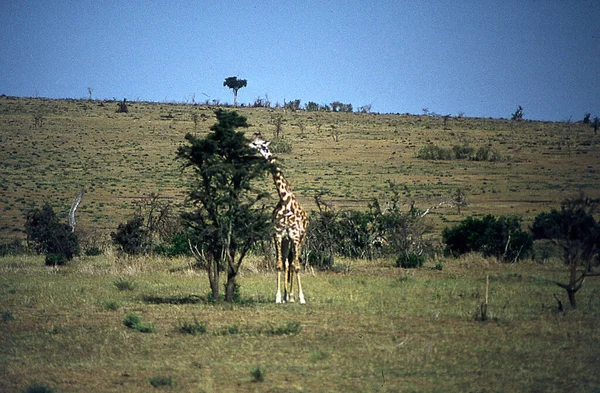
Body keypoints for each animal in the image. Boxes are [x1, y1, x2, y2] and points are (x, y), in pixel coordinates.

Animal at [250, 132, 310, 304]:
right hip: (286, 241)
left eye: (260, 144)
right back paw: (287, 296)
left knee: (294, 263)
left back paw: (293, 296)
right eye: (254, 142)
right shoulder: (278, 235)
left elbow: (297, 265)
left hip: (301, 239)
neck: (284, 200)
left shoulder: (295, 236)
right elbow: (279, 265)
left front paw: (301, 298)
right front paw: (278, 297)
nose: (248, 145)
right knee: (287, 262)